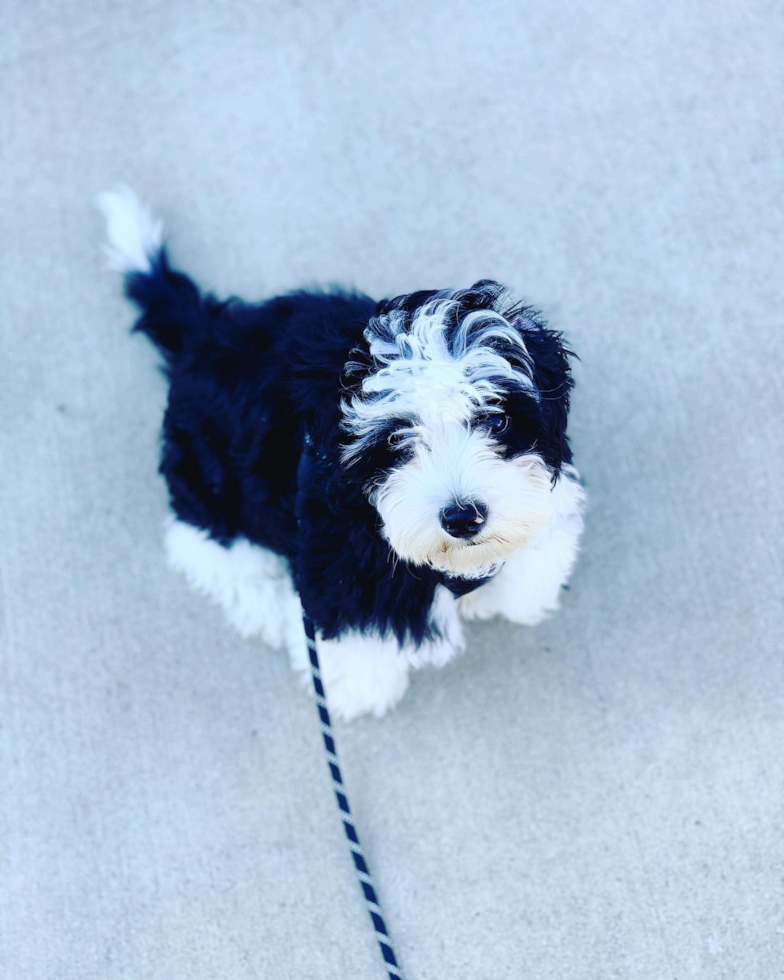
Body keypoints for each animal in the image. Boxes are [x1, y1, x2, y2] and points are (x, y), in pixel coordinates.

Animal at [98, 188, 584, 720]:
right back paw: (269, 603)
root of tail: (206, 334)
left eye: (496, 420)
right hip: (209, 478)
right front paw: (354, 688)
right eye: (396, 442)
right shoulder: (338, 562)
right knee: (204, 544)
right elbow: (351, 642)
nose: (463, 518)